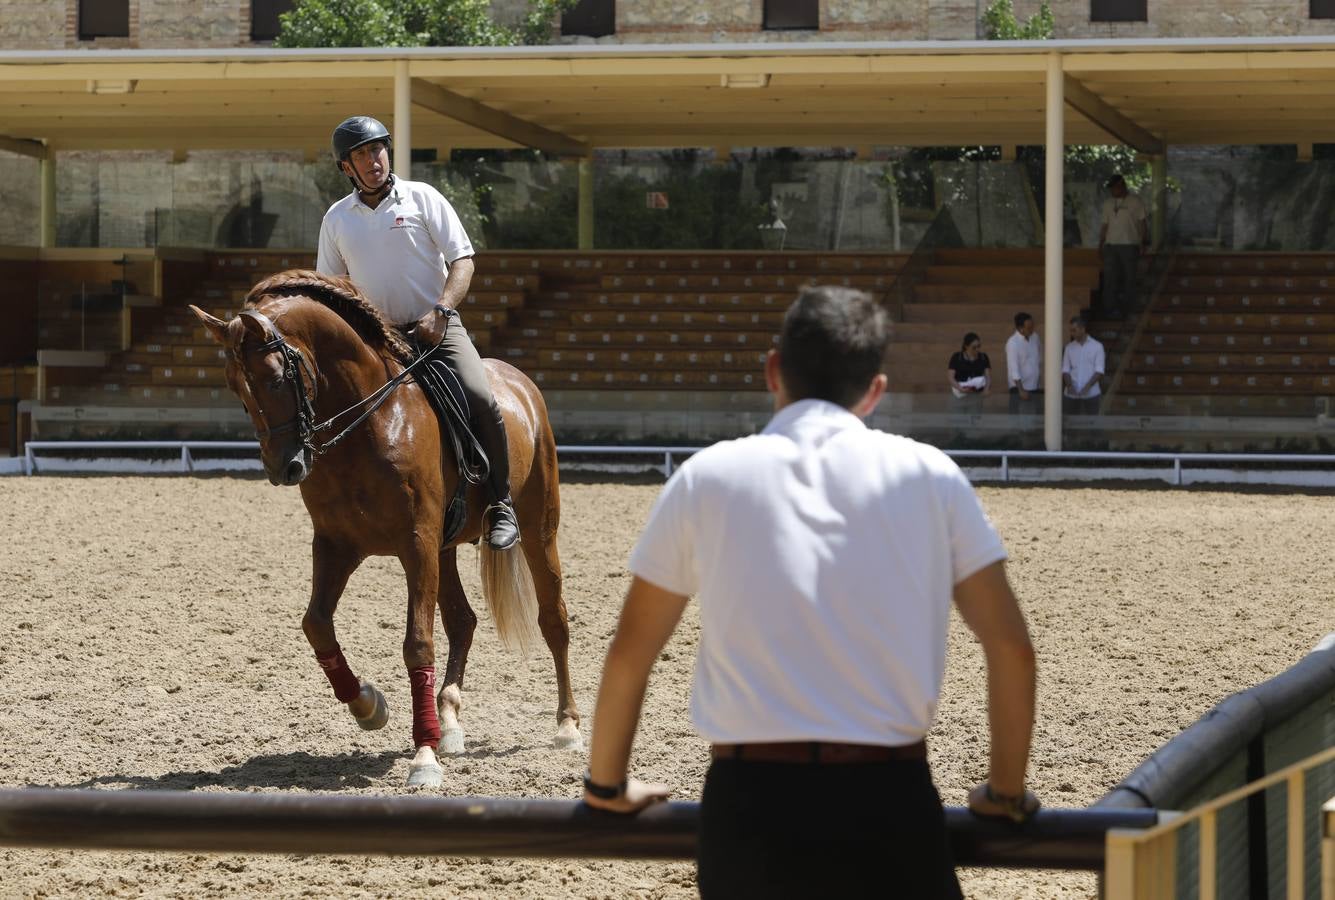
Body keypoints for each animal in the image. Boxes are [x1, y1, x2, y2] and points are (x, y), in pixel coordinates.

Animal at [189, 268, 579, 785]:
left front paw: (424, 756)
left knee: (553, 619)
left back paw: (568, 727)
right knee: (463, 621)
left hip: (537, 529)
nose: (284, 467)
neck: (370, 422)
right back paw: (449, 721)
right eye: (236, 387)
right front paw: (368, 707)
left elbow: (417, 644)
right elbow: (316, 624)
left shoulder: (416, 544)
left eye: (274, 379)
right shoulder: (337, 545)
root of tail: (521, 385)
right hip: (445, 549)